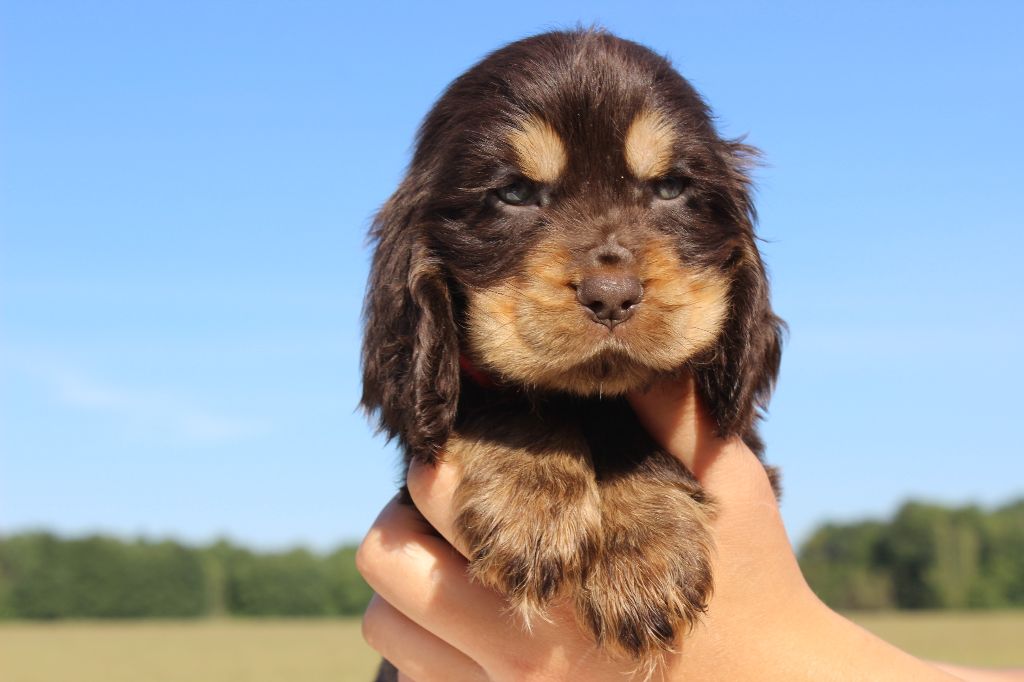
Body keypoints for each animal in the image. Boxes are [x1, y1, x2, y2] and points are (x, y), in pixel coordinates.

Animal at [362, 29, 782, 671]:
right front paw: (532, 502)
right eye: (513, 193)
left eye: (670, 187)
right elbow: (507, 396)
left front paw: (643, 558)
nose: (611, 295)